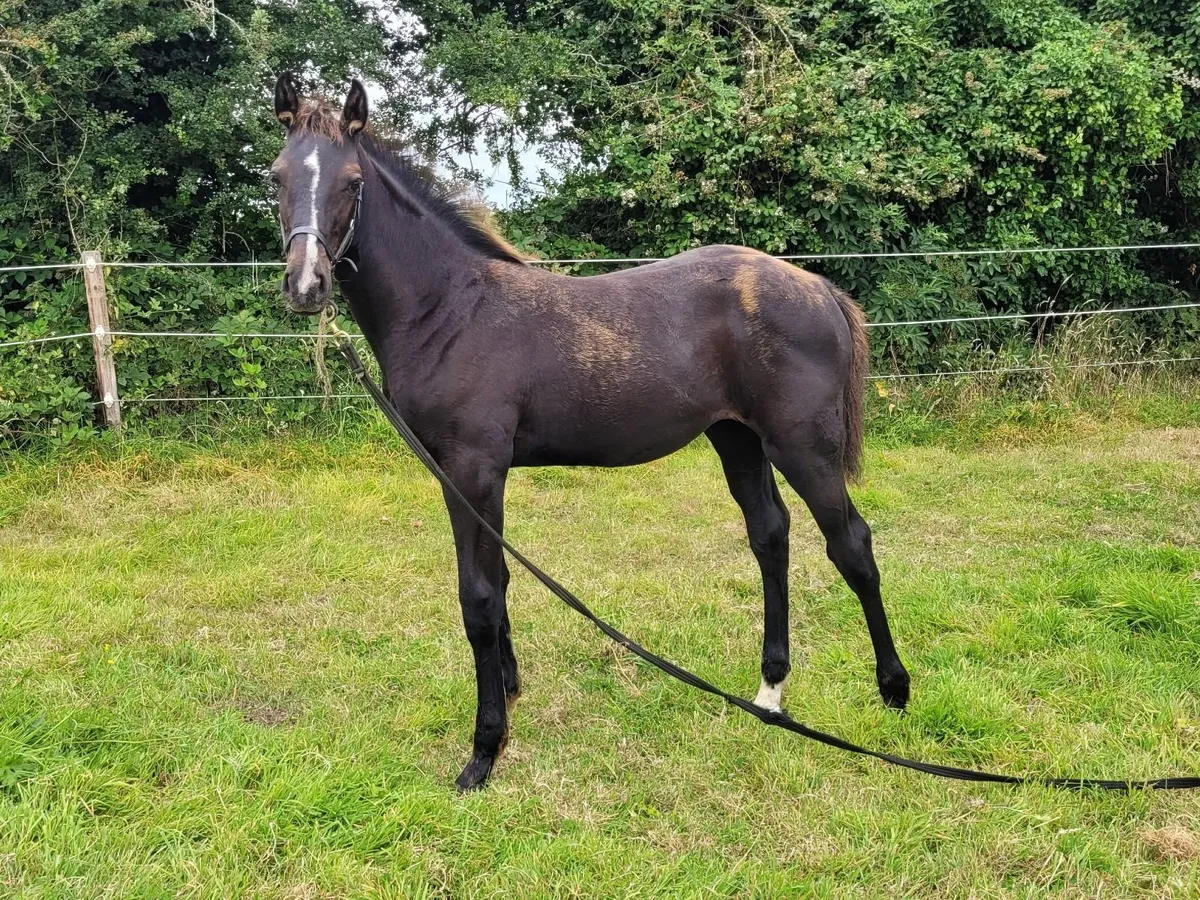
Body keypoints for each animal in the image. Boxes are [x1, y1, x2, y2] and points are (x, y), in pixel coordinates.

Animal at [269, 74, 910, 791]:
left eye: (351, 181)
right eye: (276, 177)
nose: (306, 284)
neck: (450, 310)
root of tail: (819, 287)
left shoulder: (472, 470)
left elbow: (478, 598)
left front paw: (483, 751)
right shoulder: (470, 478)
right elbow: (501, 582)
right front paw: (510, 692)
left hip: (802, 446)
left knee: (851, 544)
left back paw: (894, 689)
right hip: (736, 438)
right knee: (770, 536)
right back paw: (770, 691)